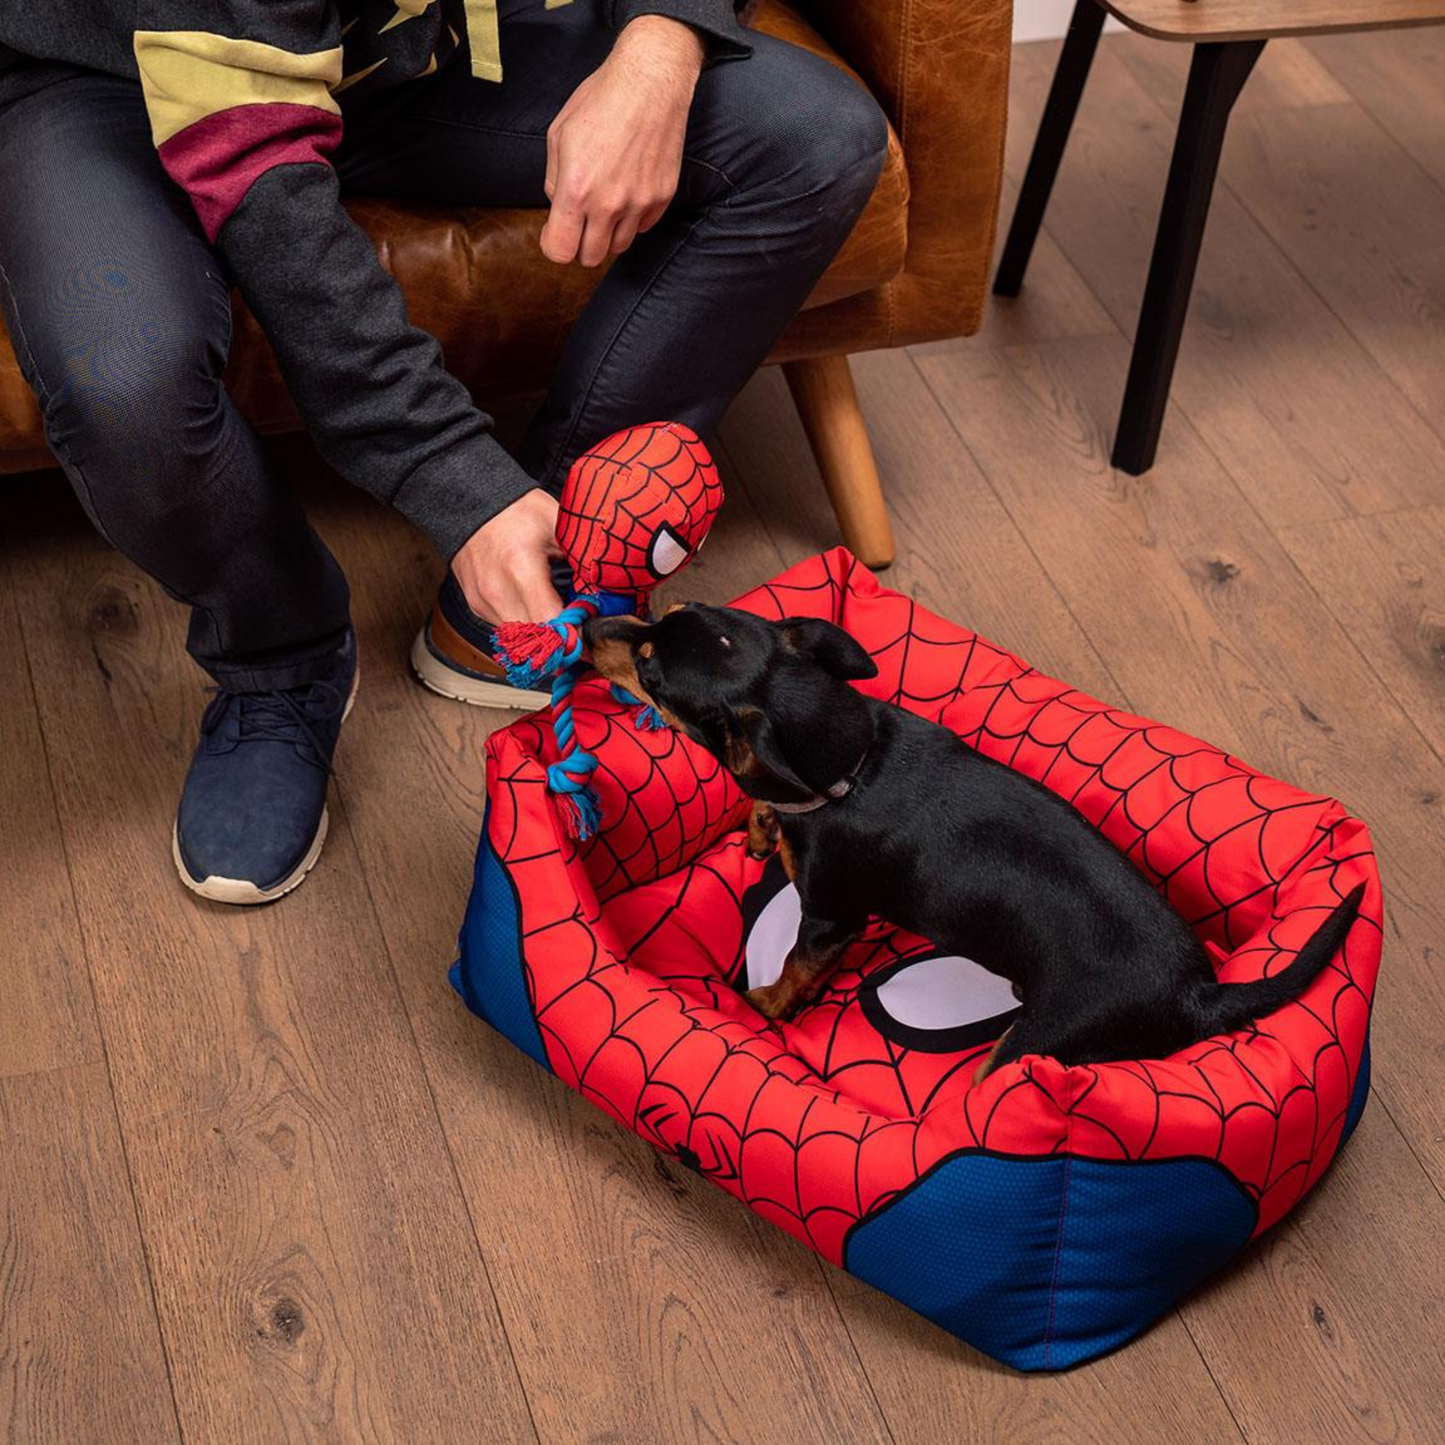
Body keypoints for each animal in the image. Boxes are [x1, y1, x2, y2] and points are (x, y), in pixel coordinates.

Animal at [586, 604, 1364, 1080]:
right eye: (662, 615)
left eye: (650, 670)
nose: (589, 622)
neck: (853, 765)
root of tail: (1198, 993)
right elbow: (761, 802)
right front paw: (760, 830)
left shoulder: (831, 918)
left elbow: (797, 968)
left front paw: (767, 1003)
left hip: (1031, 1044)